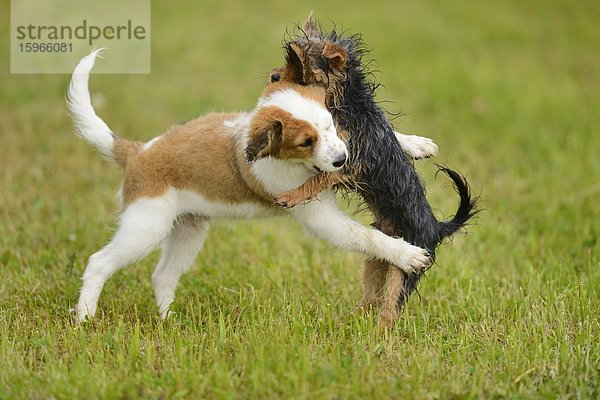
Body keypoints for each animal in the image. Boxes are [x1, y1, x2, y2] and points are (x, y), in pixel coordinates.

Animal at [68, 50, 428, 322]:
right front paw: (407, 254)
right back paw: (85, 318)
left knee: (163, 274)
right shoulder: (319, 216)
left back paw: (169, 320)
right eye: (305, 142)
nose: (342, 160)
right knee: (99, 262)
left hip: (188, 229)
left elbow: (367, 139)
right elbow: (366, 236)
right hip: (145, 226)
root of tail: (137, 151)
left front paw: (414, 143)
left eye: (329, 124)